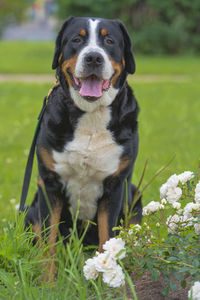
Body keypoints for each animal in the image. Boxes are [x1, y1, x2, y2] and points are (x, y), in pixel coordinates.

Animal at [24, 15, 142, 278]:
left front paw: (104, 279)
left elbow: (107, 240)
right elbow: (48, 241)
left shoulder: (115, 185)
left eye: (109, 41)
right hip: (31, 206)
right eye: (77, 40)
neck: (91, 116)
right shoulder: (49, 183)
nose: (94, 58)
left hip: (134, 195)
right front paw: (47, 282)